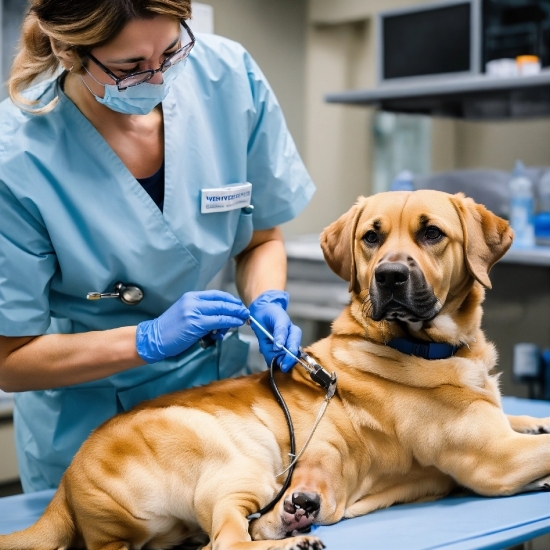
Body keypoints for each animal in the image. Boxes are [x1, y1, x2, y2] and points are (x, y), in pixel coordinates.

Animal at [1, 191, 550, 550]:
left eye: (431, 233)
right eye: (371, 237)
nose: (390, 276)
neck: (422, 347)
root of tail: (66, 490)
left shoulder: (496, 429)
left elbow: (521, 420)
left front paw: (534, 420)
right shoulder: (493, 459)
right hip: (240, 464)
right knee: (225, 541)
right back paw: (291, 543)